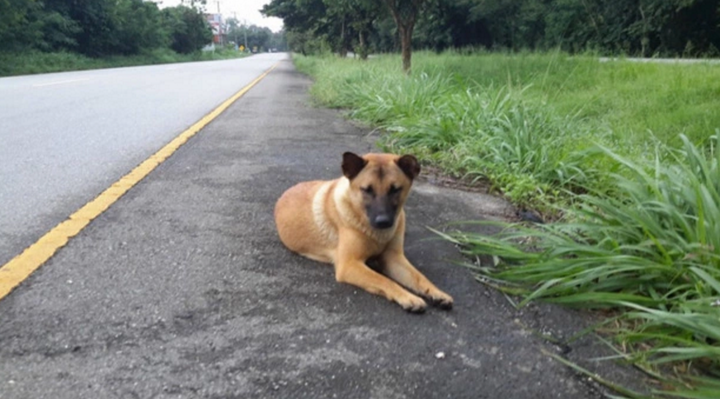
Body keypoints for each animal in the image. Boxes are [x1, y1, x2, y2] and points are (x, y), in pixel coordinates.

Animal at [272, 153, 452, 312]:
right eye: (367, 190)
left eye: (395, 189)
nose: (383, 222)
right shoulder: (350, 265)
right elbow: (384, 280)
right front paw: (408, 297)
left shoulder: (394, 259)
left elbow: (419, 277)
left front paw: (436, 292)